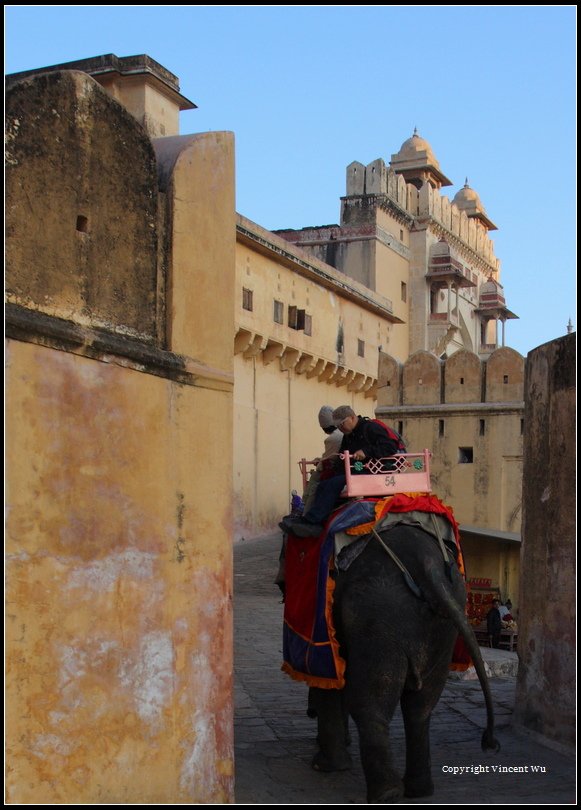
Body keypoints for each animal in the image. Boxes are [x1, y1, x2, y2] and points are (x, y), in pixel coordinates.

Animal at [304, 524, 498, 800]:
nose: (309, 713)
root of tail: (428, 565)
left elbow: (328, 678)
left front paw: (325, 765)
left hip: (377, 617)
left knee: (370, 702)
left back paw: (387, 794)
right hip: (445, 624)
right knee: (421, 705)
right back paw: (418, 790)